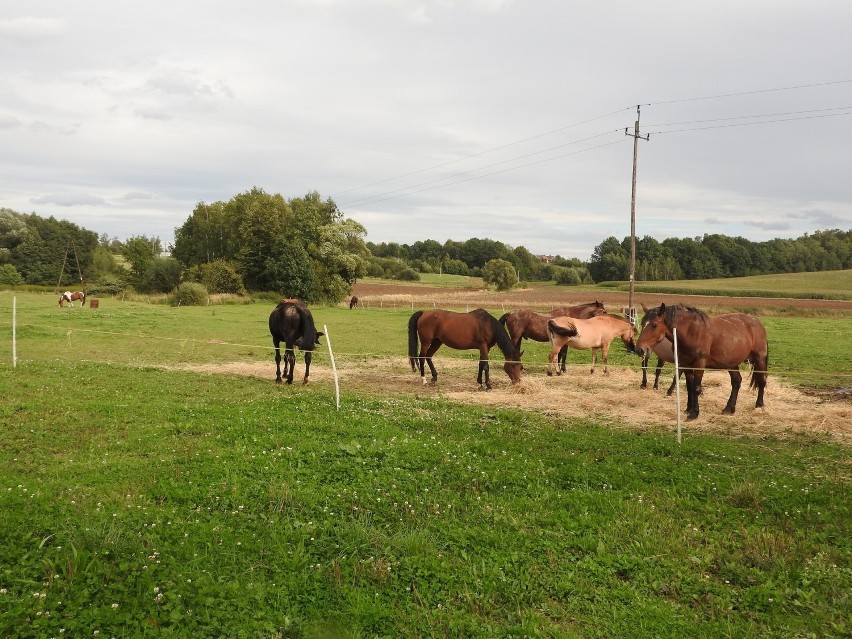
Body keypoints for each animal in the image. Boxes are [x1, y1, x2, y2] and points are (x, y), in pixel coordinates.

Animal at [636, 304, 768, 420]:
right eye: (642, 323)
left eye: (654, 325)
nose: (639, 349)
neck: (691, 332)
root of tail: (757, 322)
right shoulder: (685, 364)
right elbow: (689, 387)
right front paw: (688, 409)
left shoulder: (699, 364)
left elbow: (696, 388)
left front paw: (694, 413)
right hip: (732, 363)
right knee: (736, 382)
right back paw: (729, 408)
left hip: (759, 359)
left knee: (762, 381)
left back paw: (759, 405)